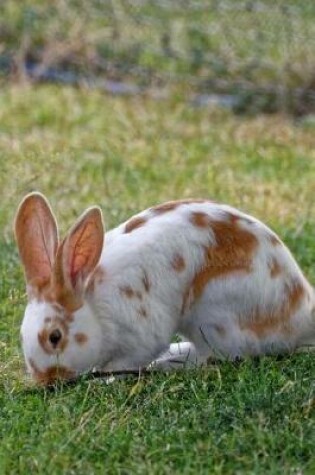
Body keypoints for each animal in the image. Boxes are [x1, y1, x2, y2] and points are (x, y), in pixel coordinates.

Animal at [15, 192, 315, 384]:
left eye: (54, 337)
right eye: (22, 334)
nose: (45, 381)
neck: (95, 306)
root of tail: (302, 315)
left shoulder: (141, 335)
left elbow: (129, 360)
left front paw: (106, 376)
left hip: (213, 316)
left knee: (216, 357)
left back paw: (166, 363)